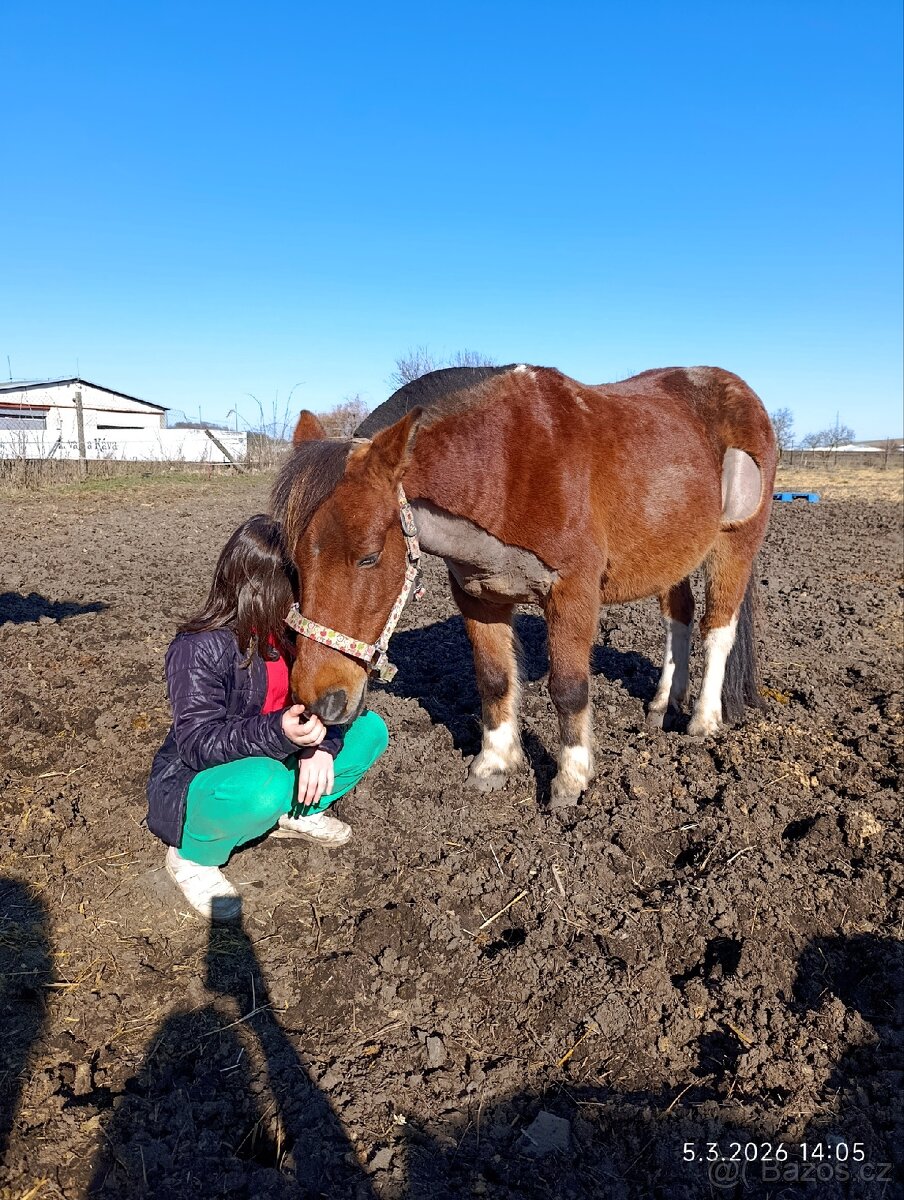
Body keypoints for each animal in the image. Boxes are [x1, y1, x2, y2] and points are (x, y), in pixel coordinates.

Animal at [272, 364, 777, 805]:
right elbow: (494, 679)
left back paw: (703, 720)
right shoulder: (477, 595)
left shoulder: (573, 593)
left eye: (369, 556)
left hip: (734, 543)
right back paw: (662, 704)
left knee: (718, 629)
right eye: (293, 560)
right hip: (672, 552)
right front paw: (493, 763)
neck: (502, 463)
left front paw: (570, 780)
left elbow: (569, 687)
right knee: (679, 619)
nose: (318, 701)